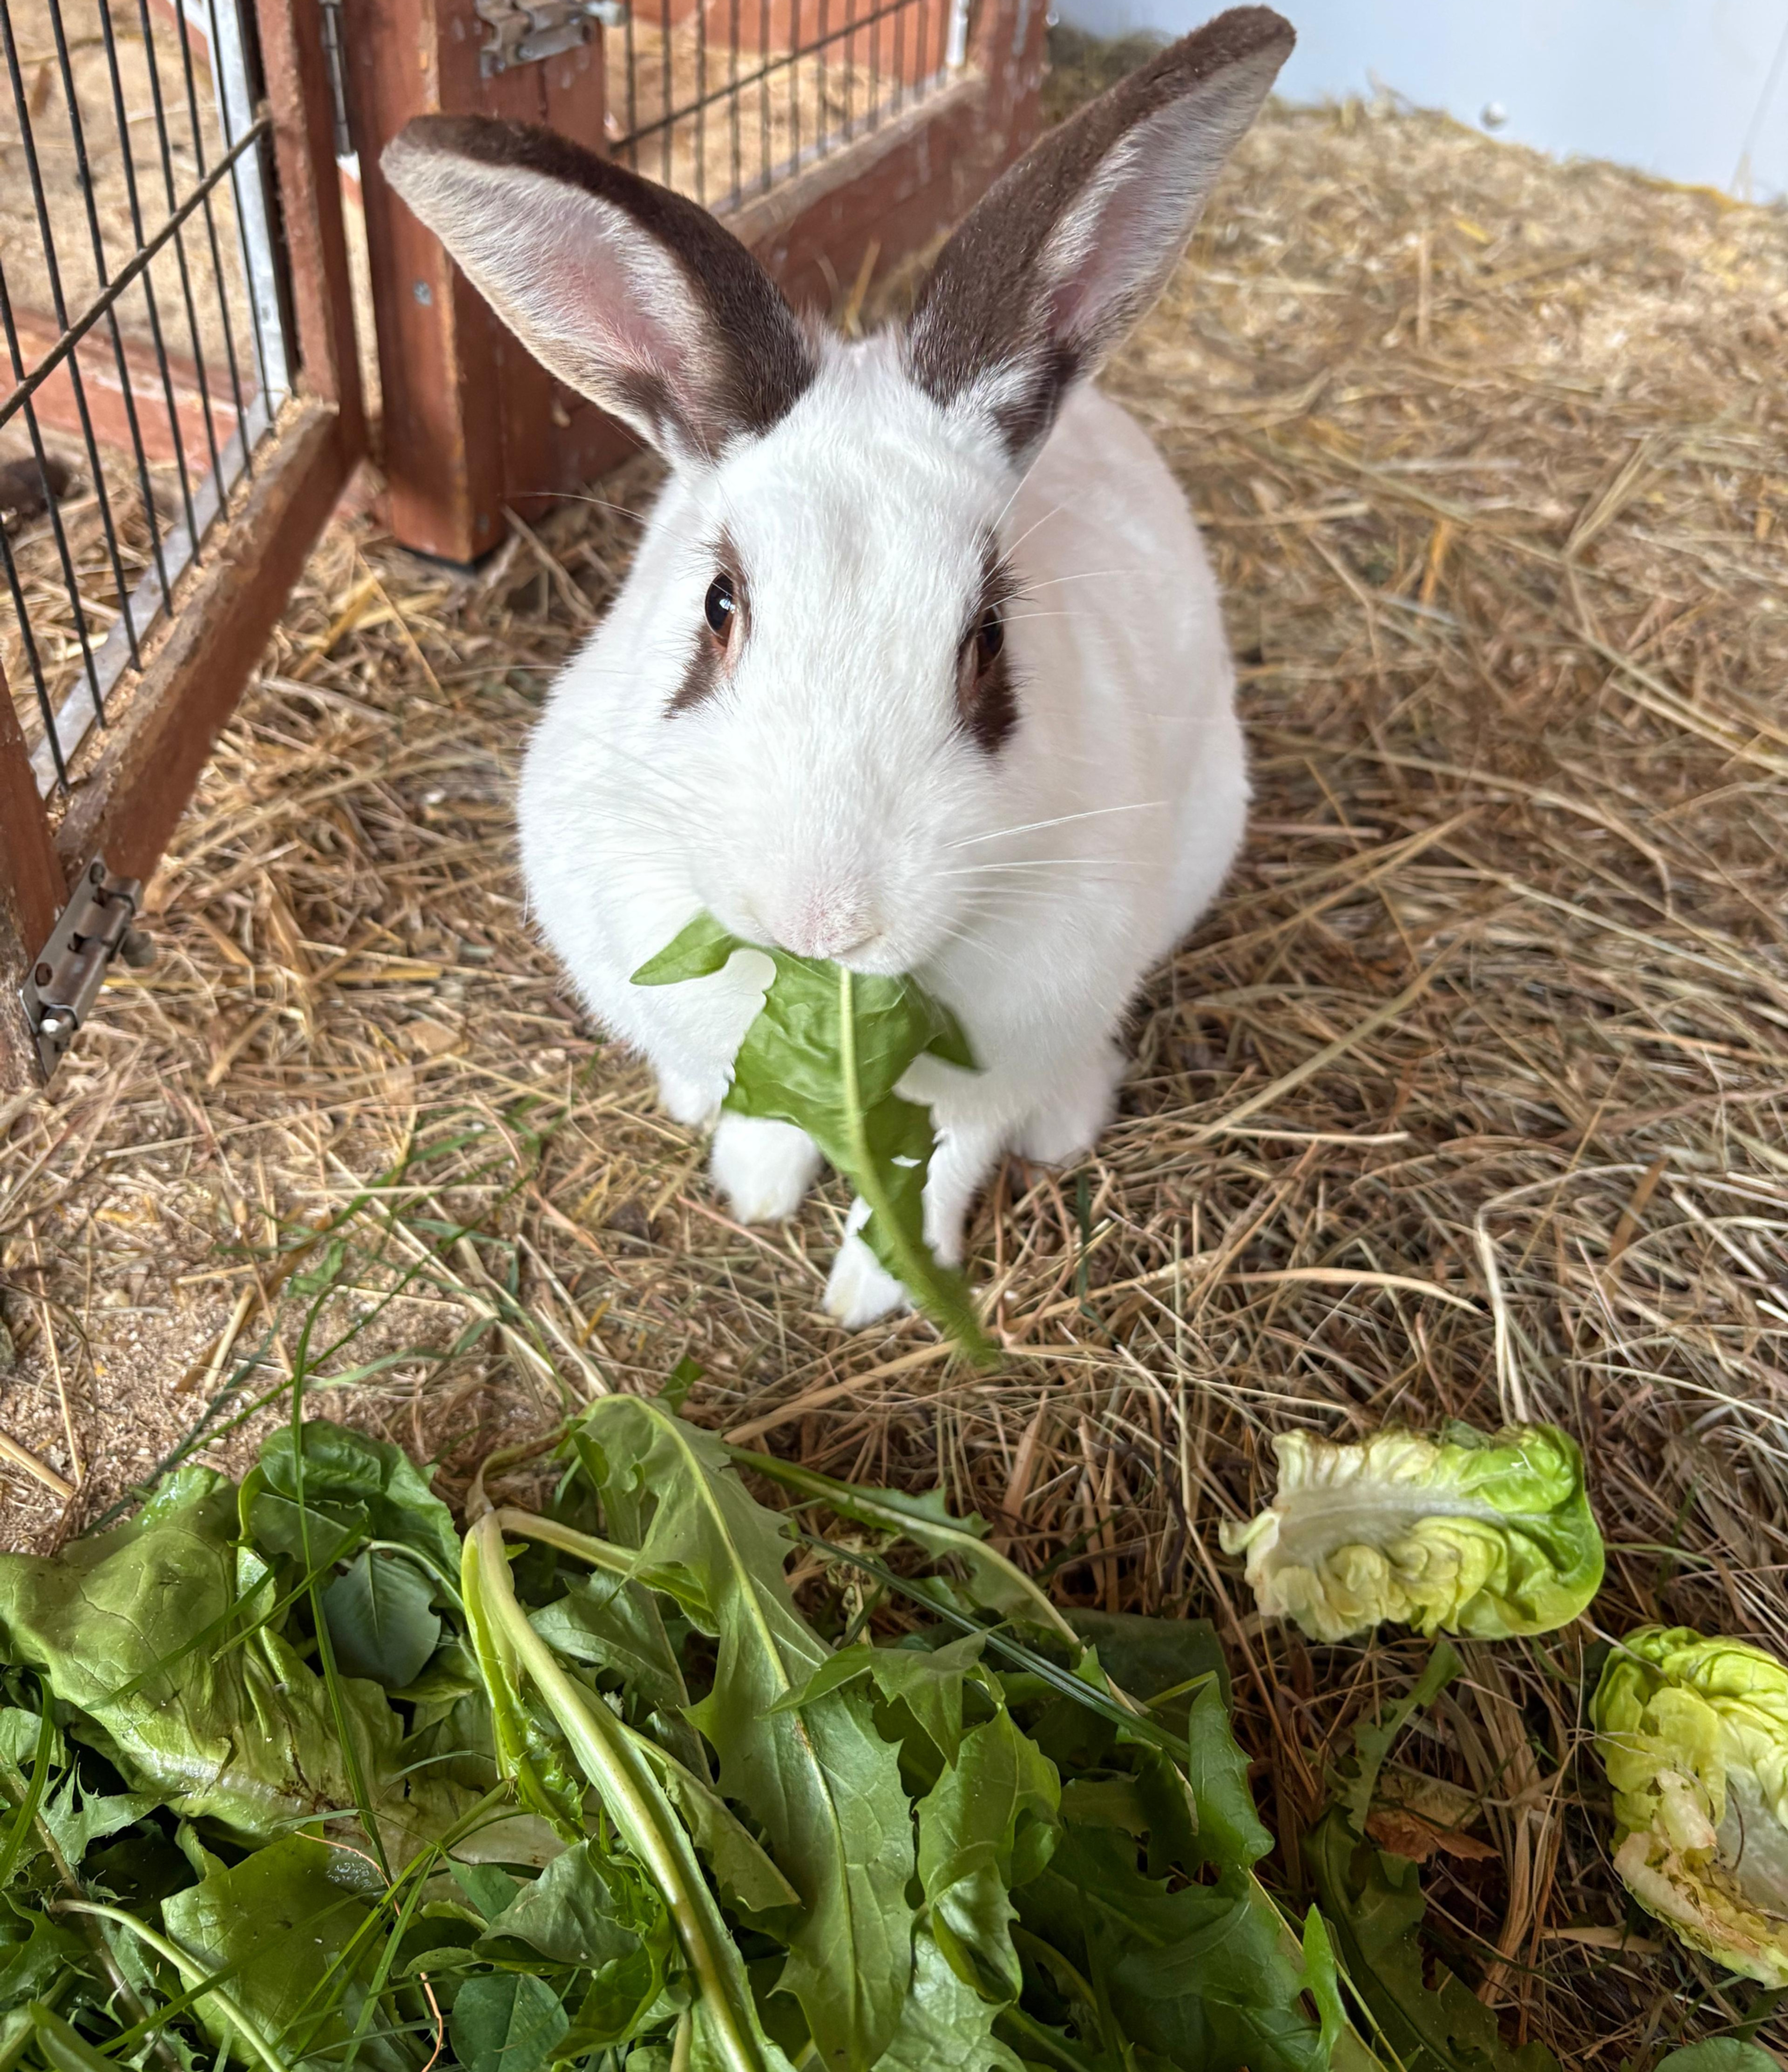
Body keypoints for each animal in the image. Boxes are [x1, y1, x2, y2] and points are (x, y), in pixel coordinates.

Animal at [382, 5, 1293, 1329]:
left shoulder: (1001, 1052)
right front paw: (758, 1184)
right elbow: (763, 1110)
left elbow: (946, 1164)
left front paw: (871, 1292)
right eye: (718, 607)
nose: (827, 921)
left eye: (989, 639)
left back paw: (1070, 1118)